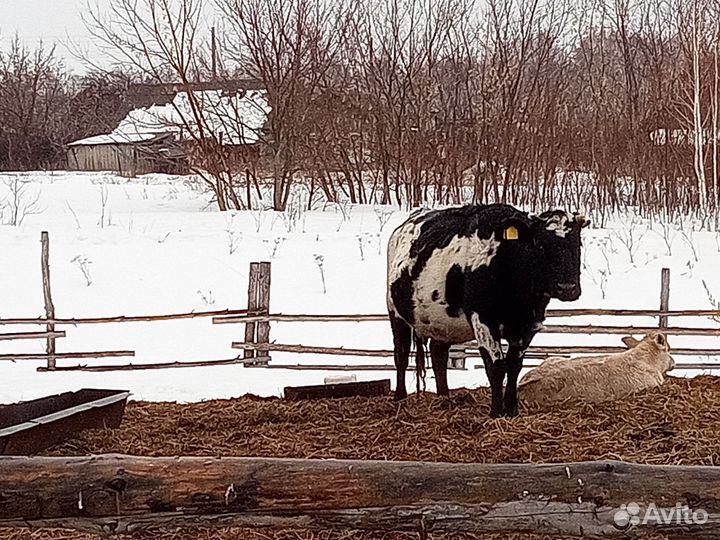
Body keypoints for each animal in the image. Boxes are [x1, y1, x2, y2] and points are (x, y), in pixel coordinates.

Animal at [386, 203, 590, 418]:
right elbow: (496, 367)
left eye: (577, 245)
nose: (567, 288)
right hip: (396, 314)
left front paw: (512, 410)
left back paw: (444, 397)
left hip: (441, 322)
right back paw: (400, 397)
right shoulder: (483, 321)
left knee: (438, 355)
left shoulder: (527, 326)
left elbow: (514, 367)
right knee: (401, 354)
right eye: (540, 245)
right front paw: (496, 412)